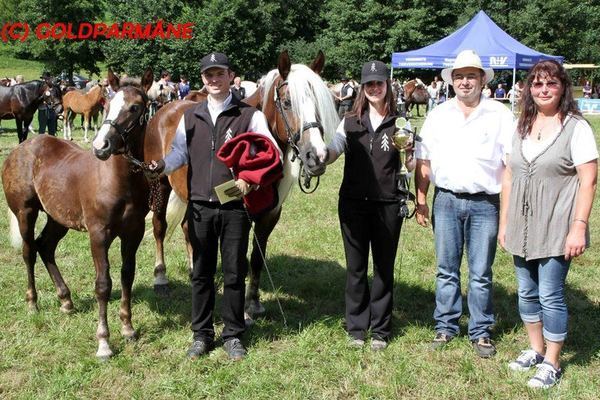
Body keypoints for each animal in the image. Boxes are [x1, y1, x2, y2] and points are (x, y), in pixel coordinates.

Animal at [2, 66, 152, 360]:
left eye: (135, 107)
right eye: (107, 105)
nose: (101, 146)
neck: (119, 180)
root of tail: (20, 149)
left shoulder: (134, 233)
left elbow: (127, 275)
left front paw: (128, 328)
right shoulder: (98, 234)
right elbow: (103, 284)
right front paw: (104, 342)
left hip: (58, 218)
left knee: (45, 246)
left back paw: (66, 299)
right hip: (26, 212)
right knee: (28, 251)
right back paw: (32, 303)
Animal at [144, 49, 340, 322]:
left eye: (320, 104)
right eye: (287, 103)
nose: (318, 157)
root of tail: (164, 111)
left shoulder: (270, 214)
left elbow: (257, 258)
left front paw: (253, 304)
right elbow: (240, 260)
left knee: (187, 228)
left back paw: (194, 270)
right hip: (160, 184)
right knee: (159, 227)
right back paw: (160, 278)